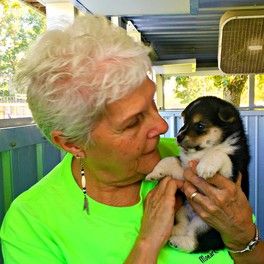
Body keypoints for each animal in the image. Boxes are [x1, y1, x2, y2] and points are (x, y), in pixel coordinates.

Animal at [146, 96, 250, 253]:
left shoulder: (232, 171)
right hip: (182, 211)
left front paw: (205, 167)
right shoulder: (184, 170)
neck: (202, 152)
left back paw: (177, 242)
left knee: (196, 242)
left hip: (205, 224)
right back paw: (173, 233)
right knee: (184, 227)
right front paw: (154, 173)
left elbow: (220, 154)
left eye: (200, 125)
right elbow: (170, 160)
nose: (178, 137)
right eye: (184, 122)